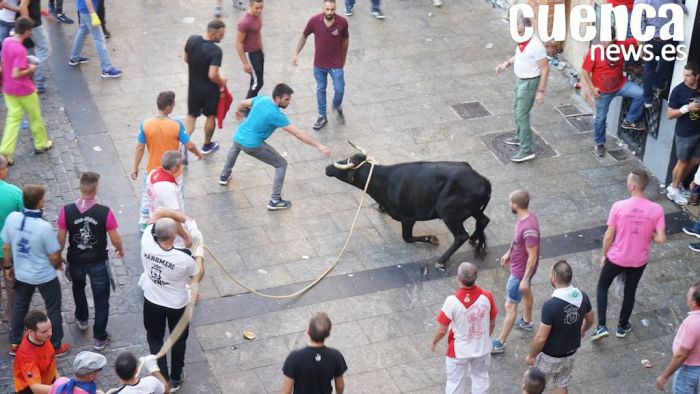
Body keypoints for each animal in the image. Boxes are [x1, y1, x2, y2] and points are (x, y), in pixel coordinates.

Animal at [324, 154, 492, 270]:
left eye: (346, 166)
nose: (327, 168)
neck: (383, 181)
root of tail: (484, 181)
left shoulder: (408, 218)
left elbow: (407, 237)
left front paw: (431, 239)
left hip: (449, 213)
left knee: (461, 235)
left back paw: (441, 261)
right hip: (472, 209)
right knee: (483, 220)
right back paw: (475, 239)